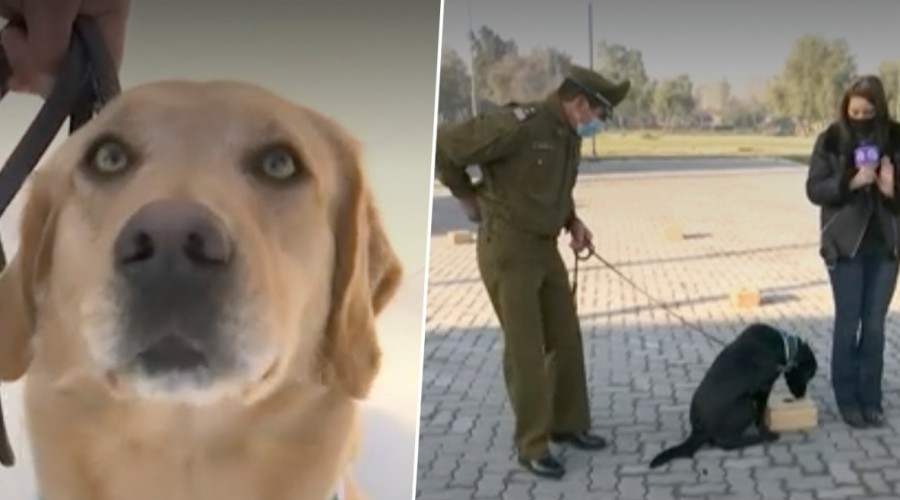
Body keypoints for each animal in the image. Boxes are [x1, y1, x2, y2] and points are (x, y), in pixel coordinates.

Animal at [652, 324, 820, 468]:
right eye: (809, 375)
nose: (801, 395)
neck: (783, 345)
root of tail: (699, 431)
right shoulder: (764, 388)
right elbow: (761, 414)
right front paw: (766, 432)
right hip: (746, 406)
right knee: (726, 443)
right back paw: (755, 439)